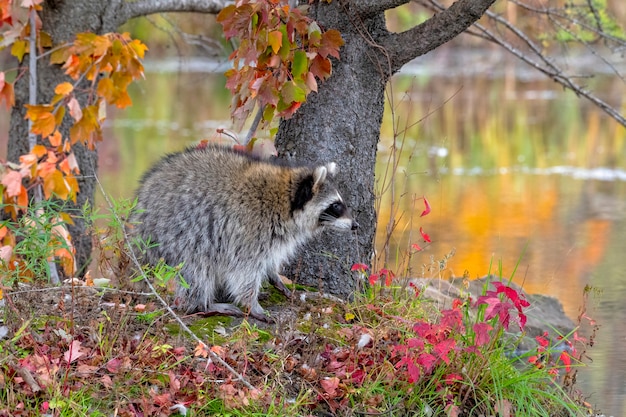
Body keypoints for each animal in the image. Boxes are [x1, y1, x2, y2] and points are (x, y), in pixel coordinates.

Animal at [130, 145, 356, 320]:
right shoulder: (249, 228)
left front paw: (274, 277)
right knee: (196, 270)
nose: (356, 225)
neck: (286, 201)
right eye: (336, 206)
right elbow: (244, 271)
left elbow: (268, 260)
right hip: (177, 233)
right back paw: (201, 305)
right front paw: (251, 303)